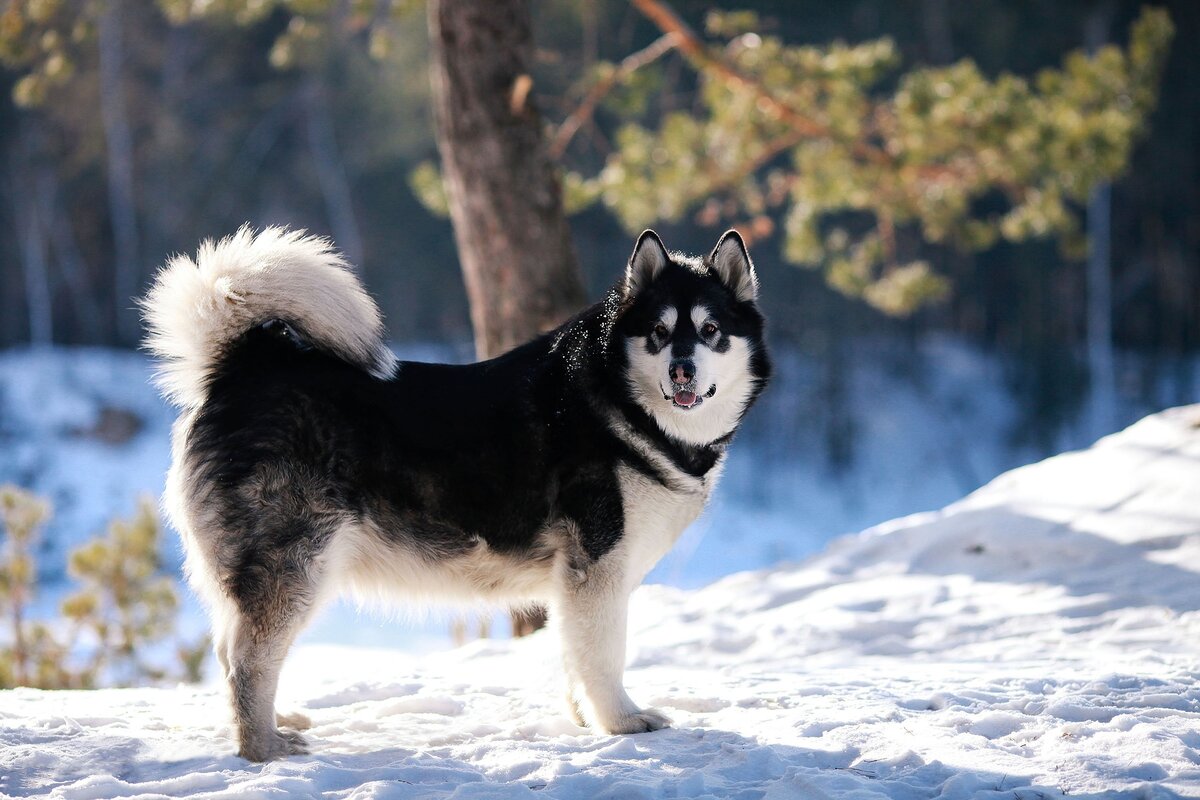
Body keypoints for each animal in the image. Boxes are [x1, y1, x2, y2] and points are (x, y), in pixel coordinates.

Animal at [142, 226, 768, 762]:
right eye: (659, 333)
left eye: (710, 331)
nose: (683, 370)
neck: (622, 403)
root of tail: (241, 367)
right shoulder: (598, 569)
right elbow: (603, 657)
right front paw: (621, 723)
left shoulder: (577, 583)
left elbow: (574, 657)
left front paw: (584, 719)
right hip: (294, 566)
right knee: (247, 663)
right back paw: (263, 747)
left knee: (227, 651)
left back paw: (274, 723)